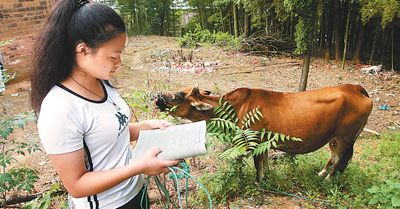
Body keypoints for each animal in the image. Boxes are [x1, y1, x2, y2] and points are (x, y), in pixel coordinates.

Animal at [155, 84, 374, 179]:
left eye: (179, 95)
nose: (157, 97)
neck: (234, 108)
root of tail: (355, 87)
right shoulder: (265, 143)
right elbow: (266, 163)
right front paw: (268, 176)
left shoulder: (254, 142)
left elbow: (258, 166)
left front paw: (261, 182)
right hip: (335, 138)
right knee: (334, 157)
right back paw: (321, 173)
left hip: (345, 137)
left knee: (339, 159)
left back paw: (328, 179)